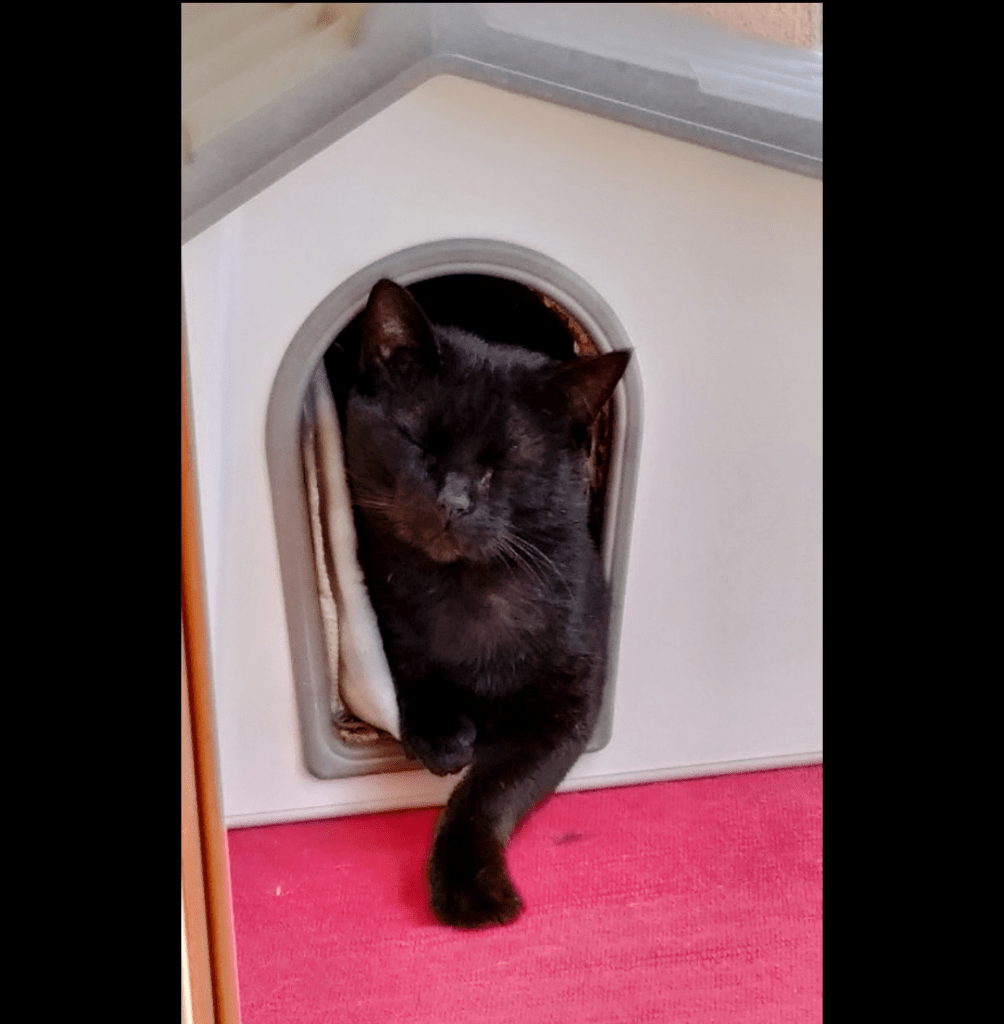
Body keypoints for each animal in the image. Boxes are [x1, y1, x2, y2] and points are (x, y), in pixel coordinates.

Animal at [341, 278, 630, 928]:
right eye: (419, 443)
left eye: (503, 464)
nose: (452, 502)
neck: (471, 592)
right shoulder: (388, 612)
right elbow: (410, 668)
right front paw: (443, 735)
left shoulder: (564, 716)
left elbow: (489, 791)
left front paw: (471, 887)